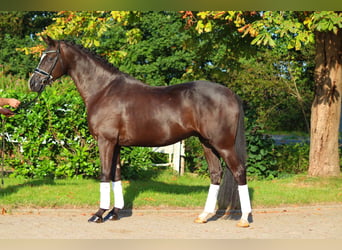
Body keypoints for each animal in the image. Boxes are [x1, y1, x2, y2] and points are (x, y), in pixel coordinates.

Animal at [28, 36, 251, 228]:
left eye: (50, 57)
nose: (33, 83)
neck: (103, 90)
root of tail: (231, 94)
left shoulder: (105, 141)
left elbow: (104, 173)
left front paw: (99, 214)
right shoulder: (116, 144)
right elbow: (116, 174)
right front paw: (115, 212)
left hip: (223, 145)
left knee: (239, 172)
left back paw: (244, 219)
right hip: (207, 144)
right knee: (215, 174)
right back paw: (204, 216)